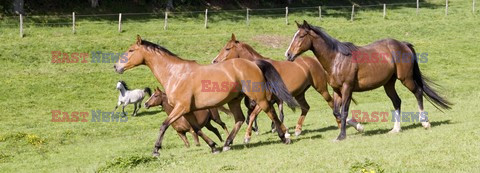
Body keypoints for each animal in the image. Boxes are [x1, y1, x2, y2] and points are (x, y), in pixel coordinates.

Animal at [114, 35, 298, 157]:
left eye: (131, 50)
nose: (116, 66)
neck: (175, 74)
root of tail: (253, 63)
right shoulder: (188, 111)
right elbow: (197, 129)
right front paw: (213, 146)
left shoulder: (180, 108)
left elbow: (164, 125)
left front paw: (156, 150)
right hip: (234, 101)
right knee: (239, 119)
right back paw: (227, 144)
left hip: (259, 98)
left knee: (270, 112)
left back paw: (285, 137)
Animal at [213, 34, 364, 143]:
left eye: (227, 48)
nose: (214, 61)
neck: (259, 69)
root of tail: (315, 61)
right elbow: (265, 117)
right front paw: (283, 132)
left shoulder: (266, 100)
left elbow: (253, 116)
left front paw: (247, 136)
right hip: (299, 94)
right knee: (306, 107)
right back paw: (298, 130)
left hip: (321, 89)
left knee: (332, 104)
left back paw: (342, 125)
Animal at [286, 21, 452, 141]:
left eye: (301, 36)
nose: (288, 55)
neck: (336, 59)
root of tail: (403, 44)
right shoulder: (337, 90)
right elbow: (336, 112)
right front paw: (358, 126)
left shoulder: (347, 88)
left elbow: (344, 112)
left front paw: (342, 135)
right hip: (389, 83)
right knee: (397, 101)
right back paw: (396, 129)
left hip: (406, 78)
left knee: (418, 92)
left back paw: (425, 122)